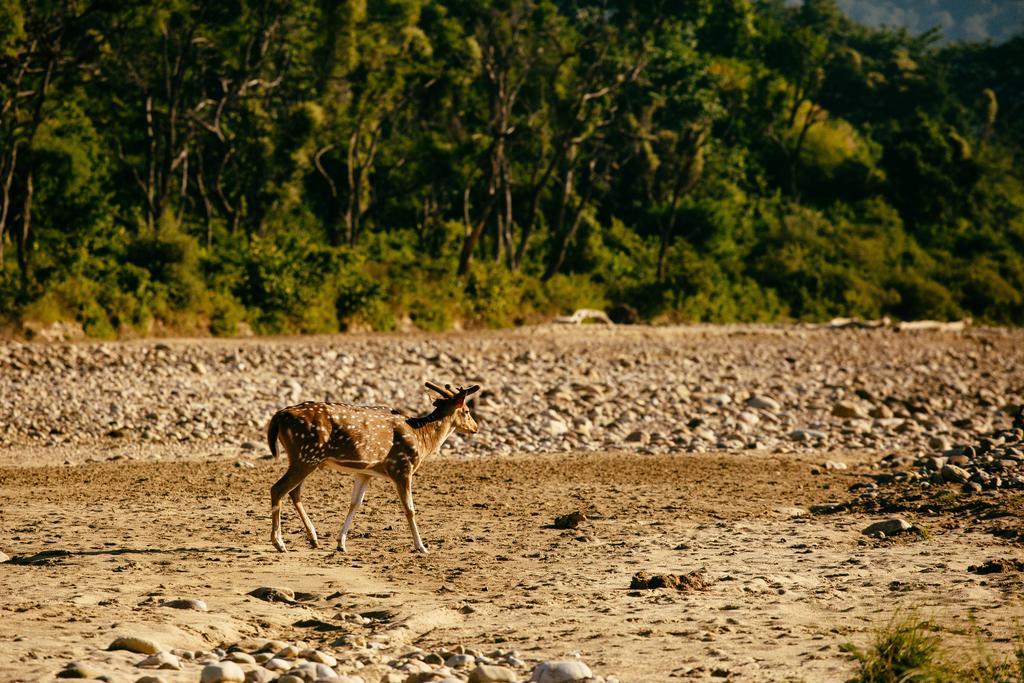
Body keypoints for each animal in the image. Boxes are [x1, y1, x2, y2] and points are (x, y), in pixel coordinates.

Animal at [268, 382, 483, 552]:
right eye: (467, 411)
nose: (476, 427)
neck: (422, 440)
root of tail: (279, 415)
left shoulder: (365, 472)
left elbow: (355, 503)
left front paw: (341, 543)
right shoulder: (402, 467)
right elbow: (410, 509)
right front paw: (421, 546)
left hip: (304, 458)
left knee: (294, 491)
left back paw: (313, 538)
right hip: (306, 455)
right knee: (278, 488)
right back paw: (279, 543)